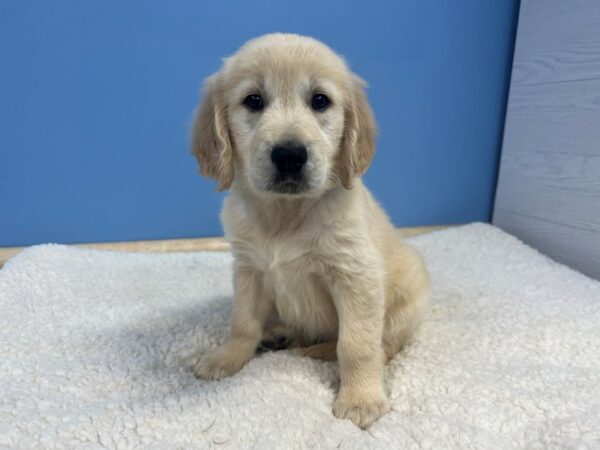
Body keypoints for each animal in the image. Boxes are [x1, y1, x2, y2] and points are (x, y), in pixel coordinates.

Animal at [190, 33, 428, 428]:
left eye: (320, 101)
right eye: (253, 100)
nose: (289, 155)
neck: (286, 215)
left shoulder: (356, 276)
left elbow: (357, 344)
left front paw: (361, 398)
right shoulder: (248, 270)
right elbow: (242, 322)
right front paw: (226, 358)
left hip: (408, 300)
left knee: (385, 345)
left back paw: (320, 351)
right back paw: (279, 334)